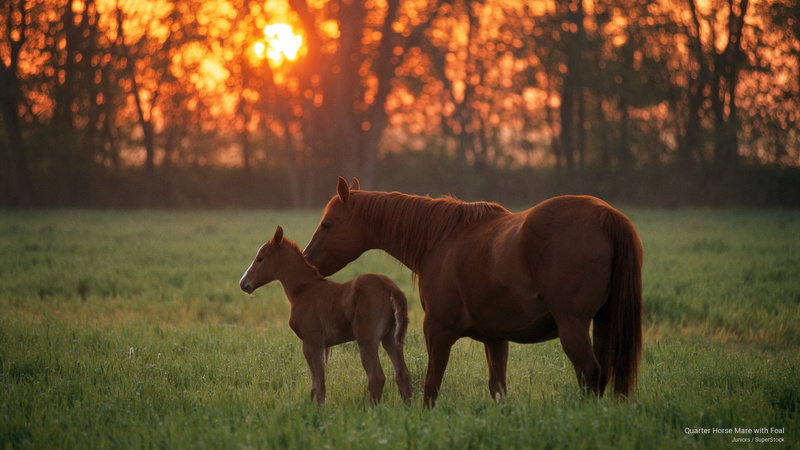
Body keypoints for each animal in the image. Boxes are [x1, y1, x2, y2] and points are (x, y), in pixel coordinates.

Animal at [239, 226, 413, 406]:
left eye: (260, 258)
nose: (243, 283)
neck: (304, 289)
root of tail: (391, 288)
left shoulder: (311, 341)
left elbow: (318, 382)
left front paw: (319, 410)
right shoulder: (324, 345)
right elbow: (317, 382)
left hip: (366, 339)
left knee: (376, 377)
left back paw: (371, 410)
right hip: (391, 338)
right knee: (403, 374)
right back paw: (408, 408)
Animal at [303, 177, 643, 407]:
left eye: (328, 224)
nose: (307, 260)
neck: (441, 239)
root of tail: (605, 214)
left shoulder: (437, 330)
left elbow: (431, 385)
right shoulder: (496, 338)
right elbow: (498, 387)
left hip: (573, 326)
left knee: (590, 372)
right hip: (602, 323)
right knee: (603, 373)